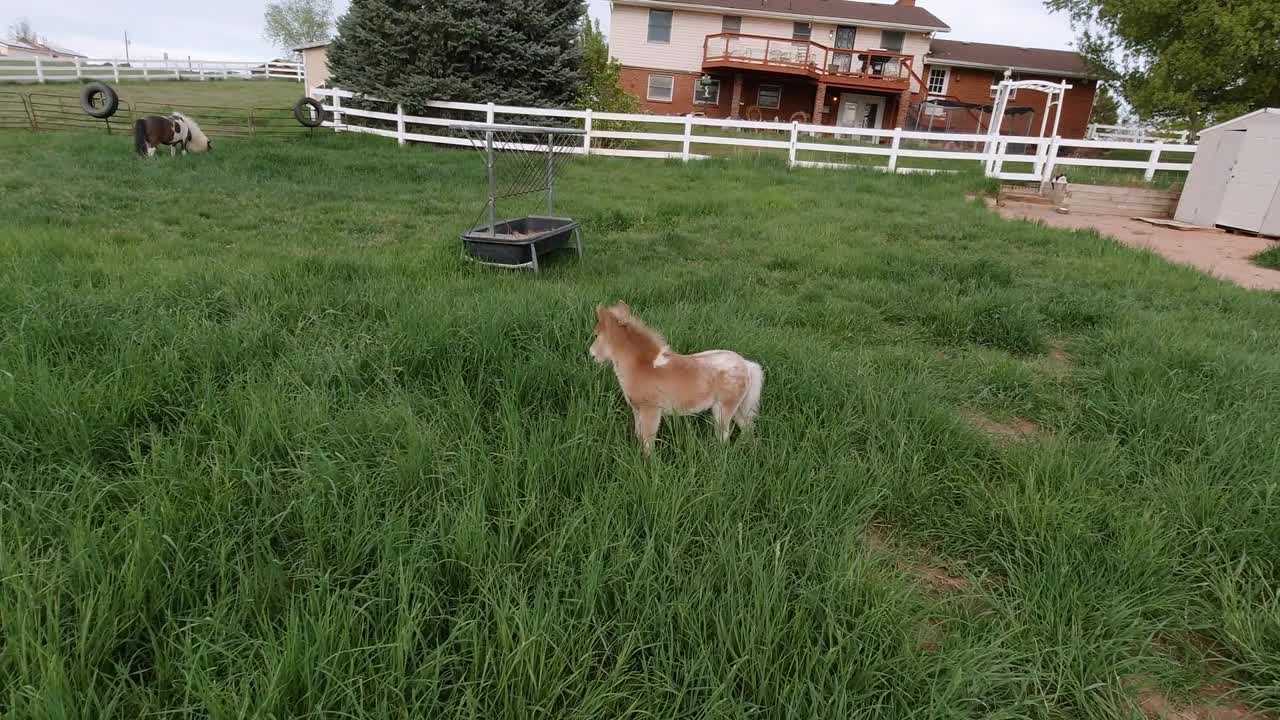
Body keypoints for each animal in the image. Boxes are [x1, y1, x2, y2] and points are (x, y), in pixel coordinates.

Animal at [589, 302, 764, 455]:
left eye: (596, 335)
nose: (591, 354)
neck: (642, 367)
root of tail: (746, 365)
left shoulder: (651, 411)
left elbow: (648, 444)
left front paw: (649, 466)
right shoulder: (637, 410)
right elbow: (639, 436)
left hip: (723, 409)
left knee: (724, 436)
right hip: (739, 408)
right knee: (748, 430)